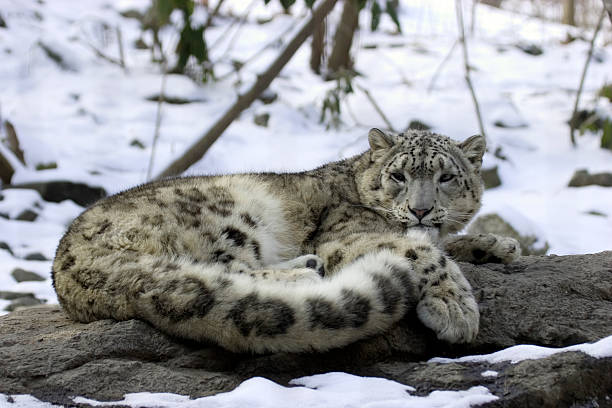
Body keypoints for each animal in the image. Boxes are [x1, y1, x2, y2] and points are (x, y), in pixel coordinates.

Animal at [52, 128, 520, 354]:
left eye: (447, 177)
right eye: (399, 175)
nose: (421, 210)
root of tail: (66, 259)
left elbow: (444, 243)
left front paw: (499, 244)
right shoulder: (346, 235)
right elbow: (422, 250)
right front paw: (455, 309)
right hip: (230, 213)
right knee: (227, 267)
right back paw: (304, 272)